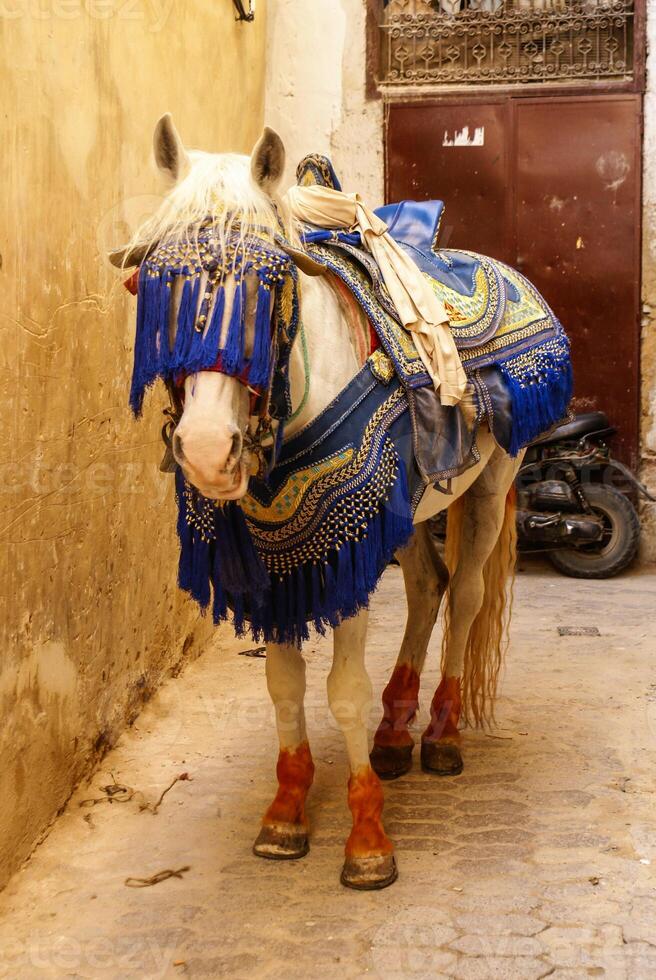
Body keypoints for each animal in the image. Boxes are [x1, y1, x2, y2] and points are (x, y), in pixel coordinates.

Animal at [118, 118, 524, 892]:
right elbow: (283, 685)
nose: (208, 450)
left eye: (272, 284)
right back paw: (394, 734)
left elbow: (342, 691)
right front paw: (286, 810)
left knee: (465, 596)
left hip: (489, 485)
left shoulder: (344, 546)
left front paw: (366, 841)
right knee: (427, 587)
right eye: (154, 283)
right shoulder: (279, 556)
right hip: (405, 514)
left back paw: (442, 734)